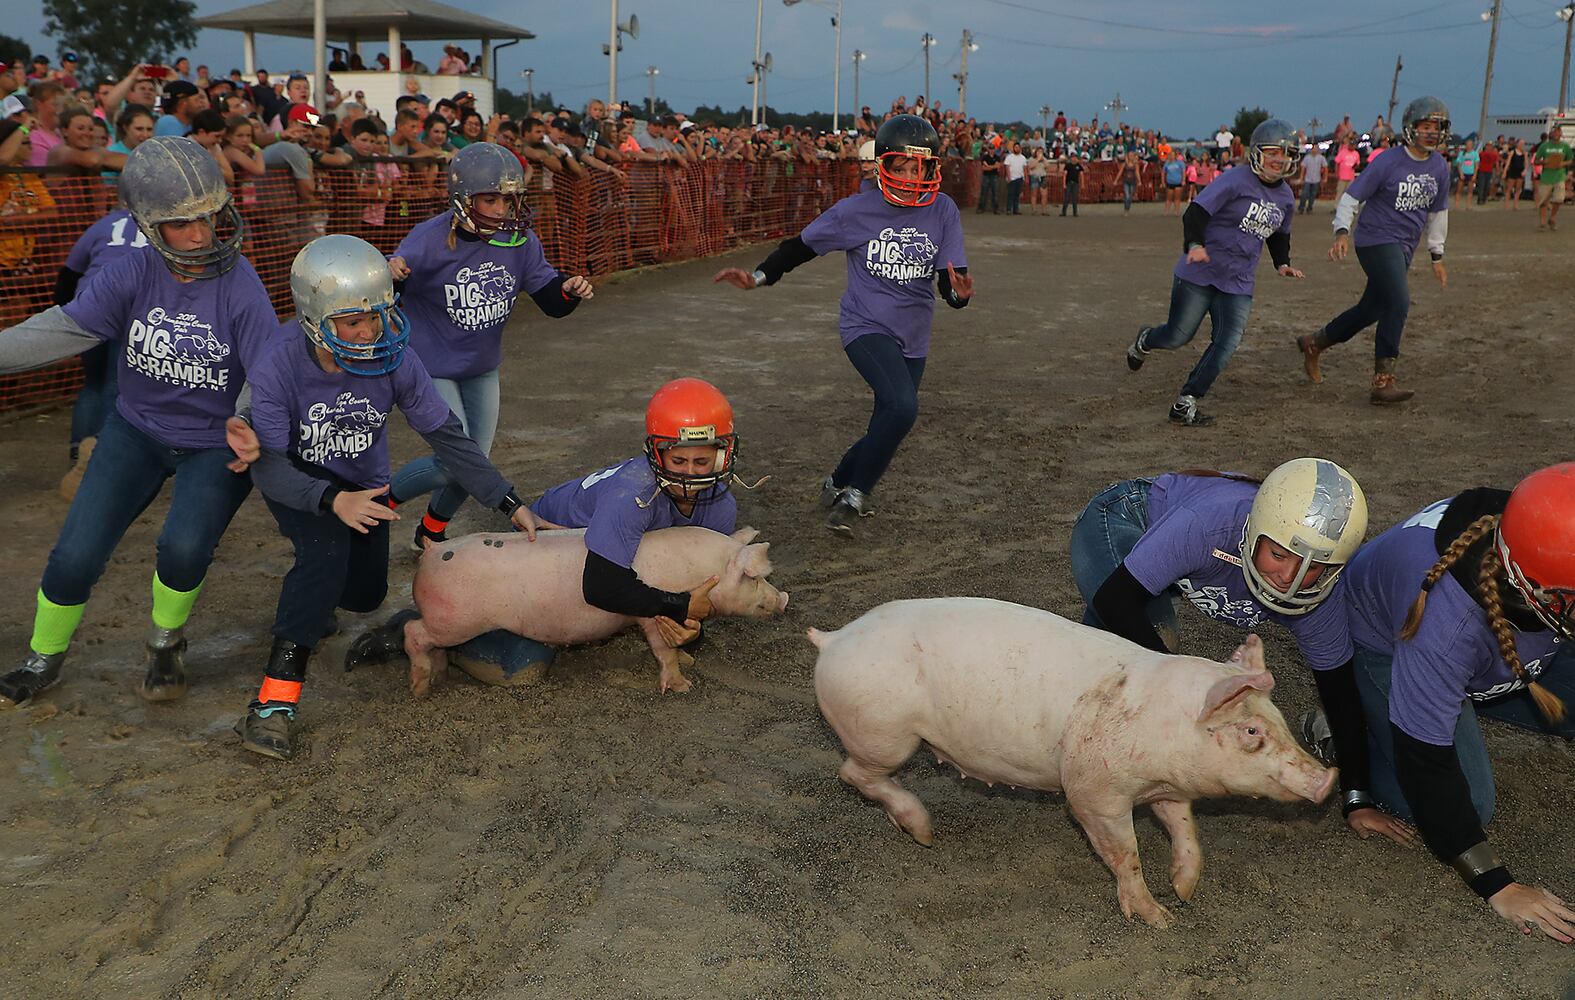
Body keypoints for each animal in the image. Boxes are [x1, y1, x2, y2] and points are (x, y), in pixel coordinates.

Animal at [382, 529, 787, 699]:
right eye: (752, 577)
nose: (783, 599)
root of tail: (432, 551)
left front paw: (689, 660)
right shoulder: (648, 616)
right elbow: (662, 650)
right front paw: (682, 686)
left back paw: (439, 675)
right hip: (455, 621)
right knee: (413, 632)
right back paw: (420, 688)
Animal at [806, 595, 1335, 932]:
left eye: (1278, 719)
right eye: (1251, 733)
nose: (1329, 778)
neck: (1164, 734)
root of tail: (832, 638)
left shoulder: (1166, 789)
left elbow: (1185, 828)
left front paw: (1184, 890)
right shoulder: (1093, 791)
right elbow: (1125, 852)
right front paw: (1161, 920)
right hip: (883, 734)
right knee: (853, 773)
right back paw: (924, 833)